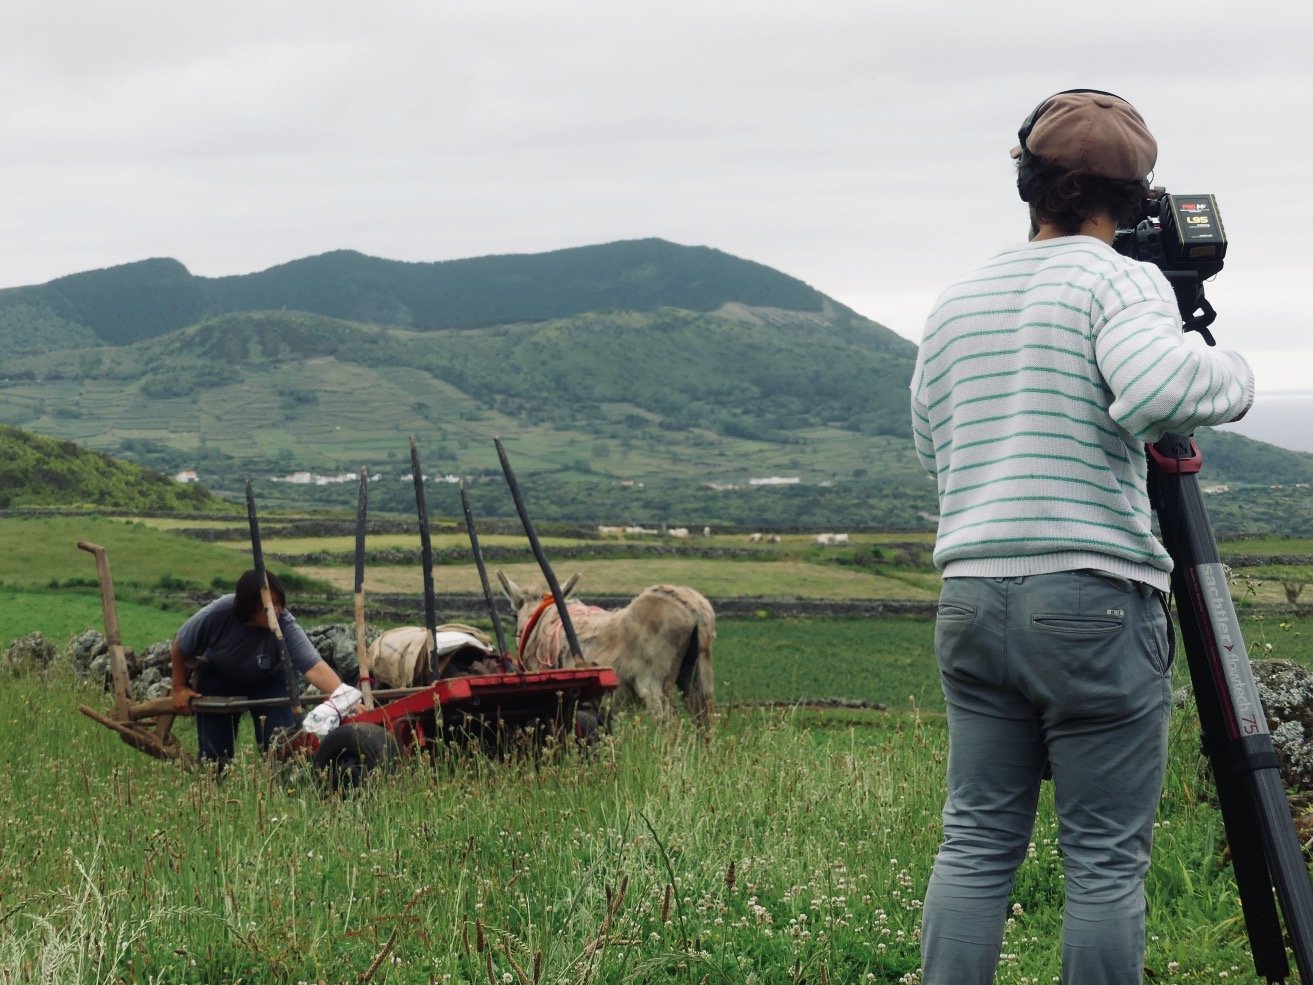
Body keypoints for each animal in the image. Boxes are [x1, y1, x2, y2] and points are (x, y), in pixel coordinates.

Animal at [493, 569, 719, 724]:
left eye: (513, 615)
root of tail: (696, 610)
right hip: (698, 677)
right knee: (704, 723)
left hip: (654, 685)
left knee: (670, 726)